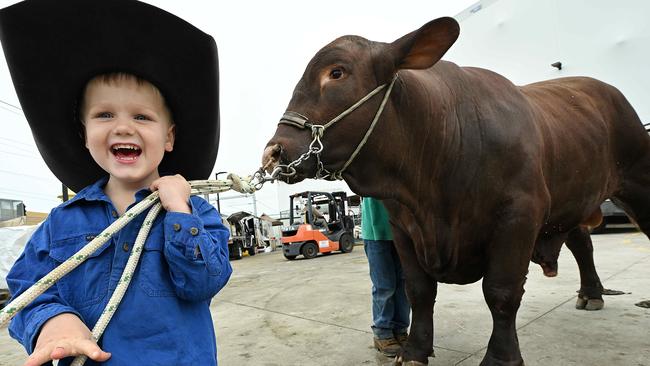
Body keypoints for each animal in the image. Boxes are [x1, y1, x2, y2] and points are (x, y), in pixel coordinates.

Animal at [260, 17, 648, 366]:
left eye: (337, 73)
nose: (274, 152)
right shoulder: (403, 227)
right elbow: (418, 291)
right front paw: (414, 351)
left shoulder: (518, 216)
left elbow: (501, 292)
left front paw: (500, 358)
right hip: (573, 200)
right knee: (582, 242)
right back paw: (591, 293)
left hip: (637, 183)